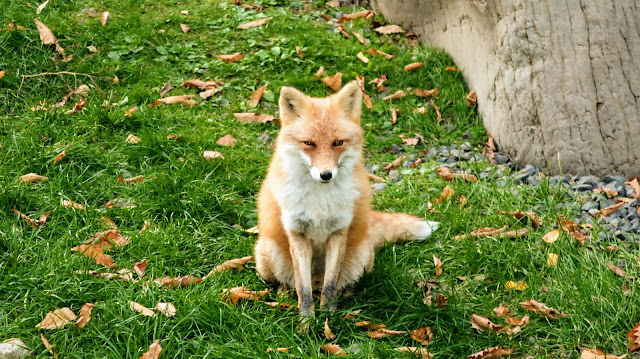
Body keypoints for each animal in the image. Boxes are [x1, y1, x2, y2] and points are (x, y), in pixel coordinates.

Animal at [255, 81, 440, 324]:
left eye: (338, 143)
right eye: (309, 143)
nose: (326, 175)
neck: (319, 203)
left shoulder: (338, 232)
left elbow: (330, 285)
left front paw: (328, 317)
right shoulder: (296, 233)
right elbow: (303, 289)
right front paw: (306, 323)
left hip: (361, 260)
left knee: (335, 283)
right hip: (266, 255)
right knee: (292, 282)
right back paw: (284, 291)